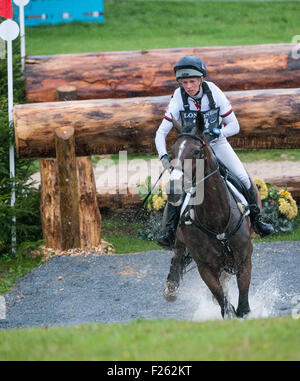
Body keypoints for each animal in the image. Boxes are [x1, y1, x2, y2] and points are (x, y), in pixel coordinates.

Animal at [163, 113, 258, 318]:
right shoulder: (205, 267)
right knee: (177, 256)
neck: (217, 220)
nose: (173, 191)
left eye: (197, 152)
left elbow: (243, 307)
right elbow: (225, 307)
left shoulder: (244, 260)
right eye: (172, 151)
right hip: (181, 241)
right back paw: (171, 288)